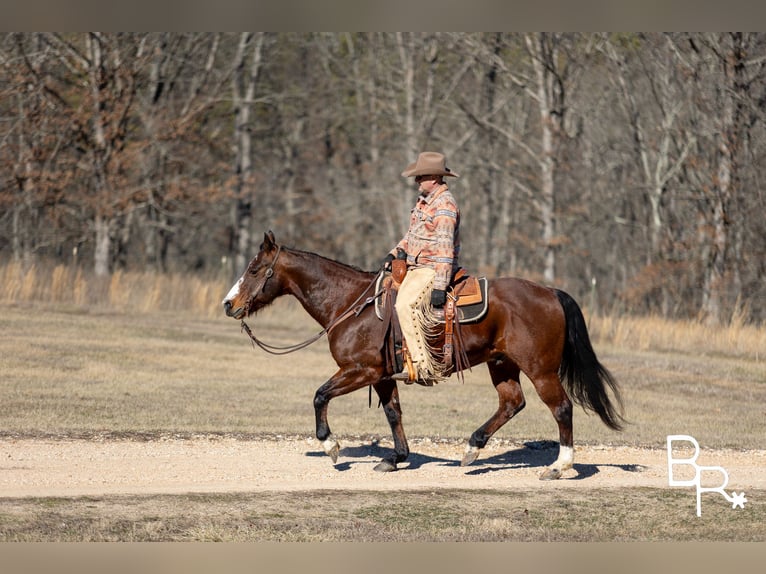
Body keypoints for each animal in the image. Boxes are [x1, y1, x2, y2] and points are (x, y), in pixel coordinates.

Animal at [222, 232, 624, 480]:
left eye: (254, 269)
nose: (229, 304)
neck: (350, 303)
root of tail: (551, 292)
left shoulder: (360, 371)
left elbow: (320, 396)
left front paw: (331, 446)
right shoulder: (383, 377)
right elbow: (393, 414)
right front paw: (396, 458)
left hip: (540, 369)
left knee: (561, 408)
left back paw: (558, 466)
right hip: (502, 364)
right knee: (512, 403)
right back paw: (471, 449)